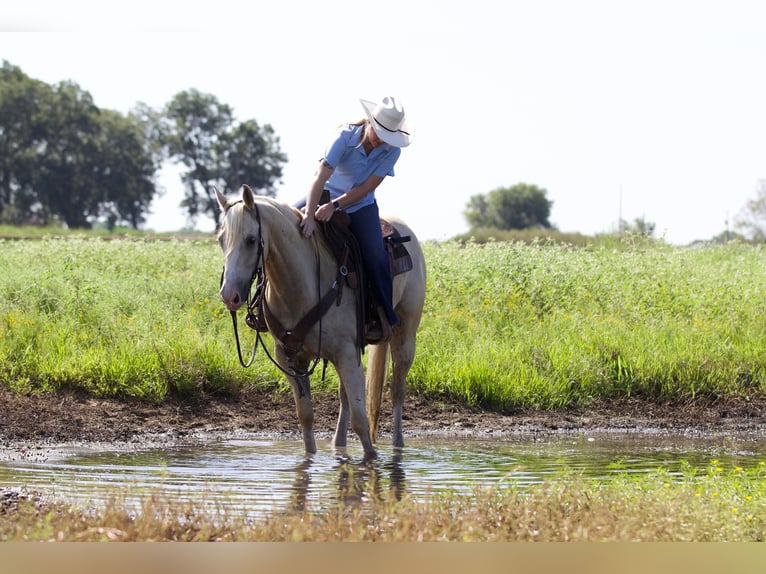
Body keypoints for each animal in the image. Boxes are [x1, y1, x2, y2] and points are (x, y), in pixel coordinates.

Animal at [219, 186, 428, 460]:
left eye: (251, 240)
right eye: (220, 239)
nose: (229, 295)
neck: (300, 286)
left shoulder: (346, 353)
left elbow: (361, 421)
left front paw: (371, 459)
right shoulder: (291, 357)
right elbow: (306, 415)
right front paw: (310, 458)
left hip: (405, 334)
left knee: (397, 391)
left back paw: (398, 446)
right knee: (345, 396)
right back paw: (338, 445)